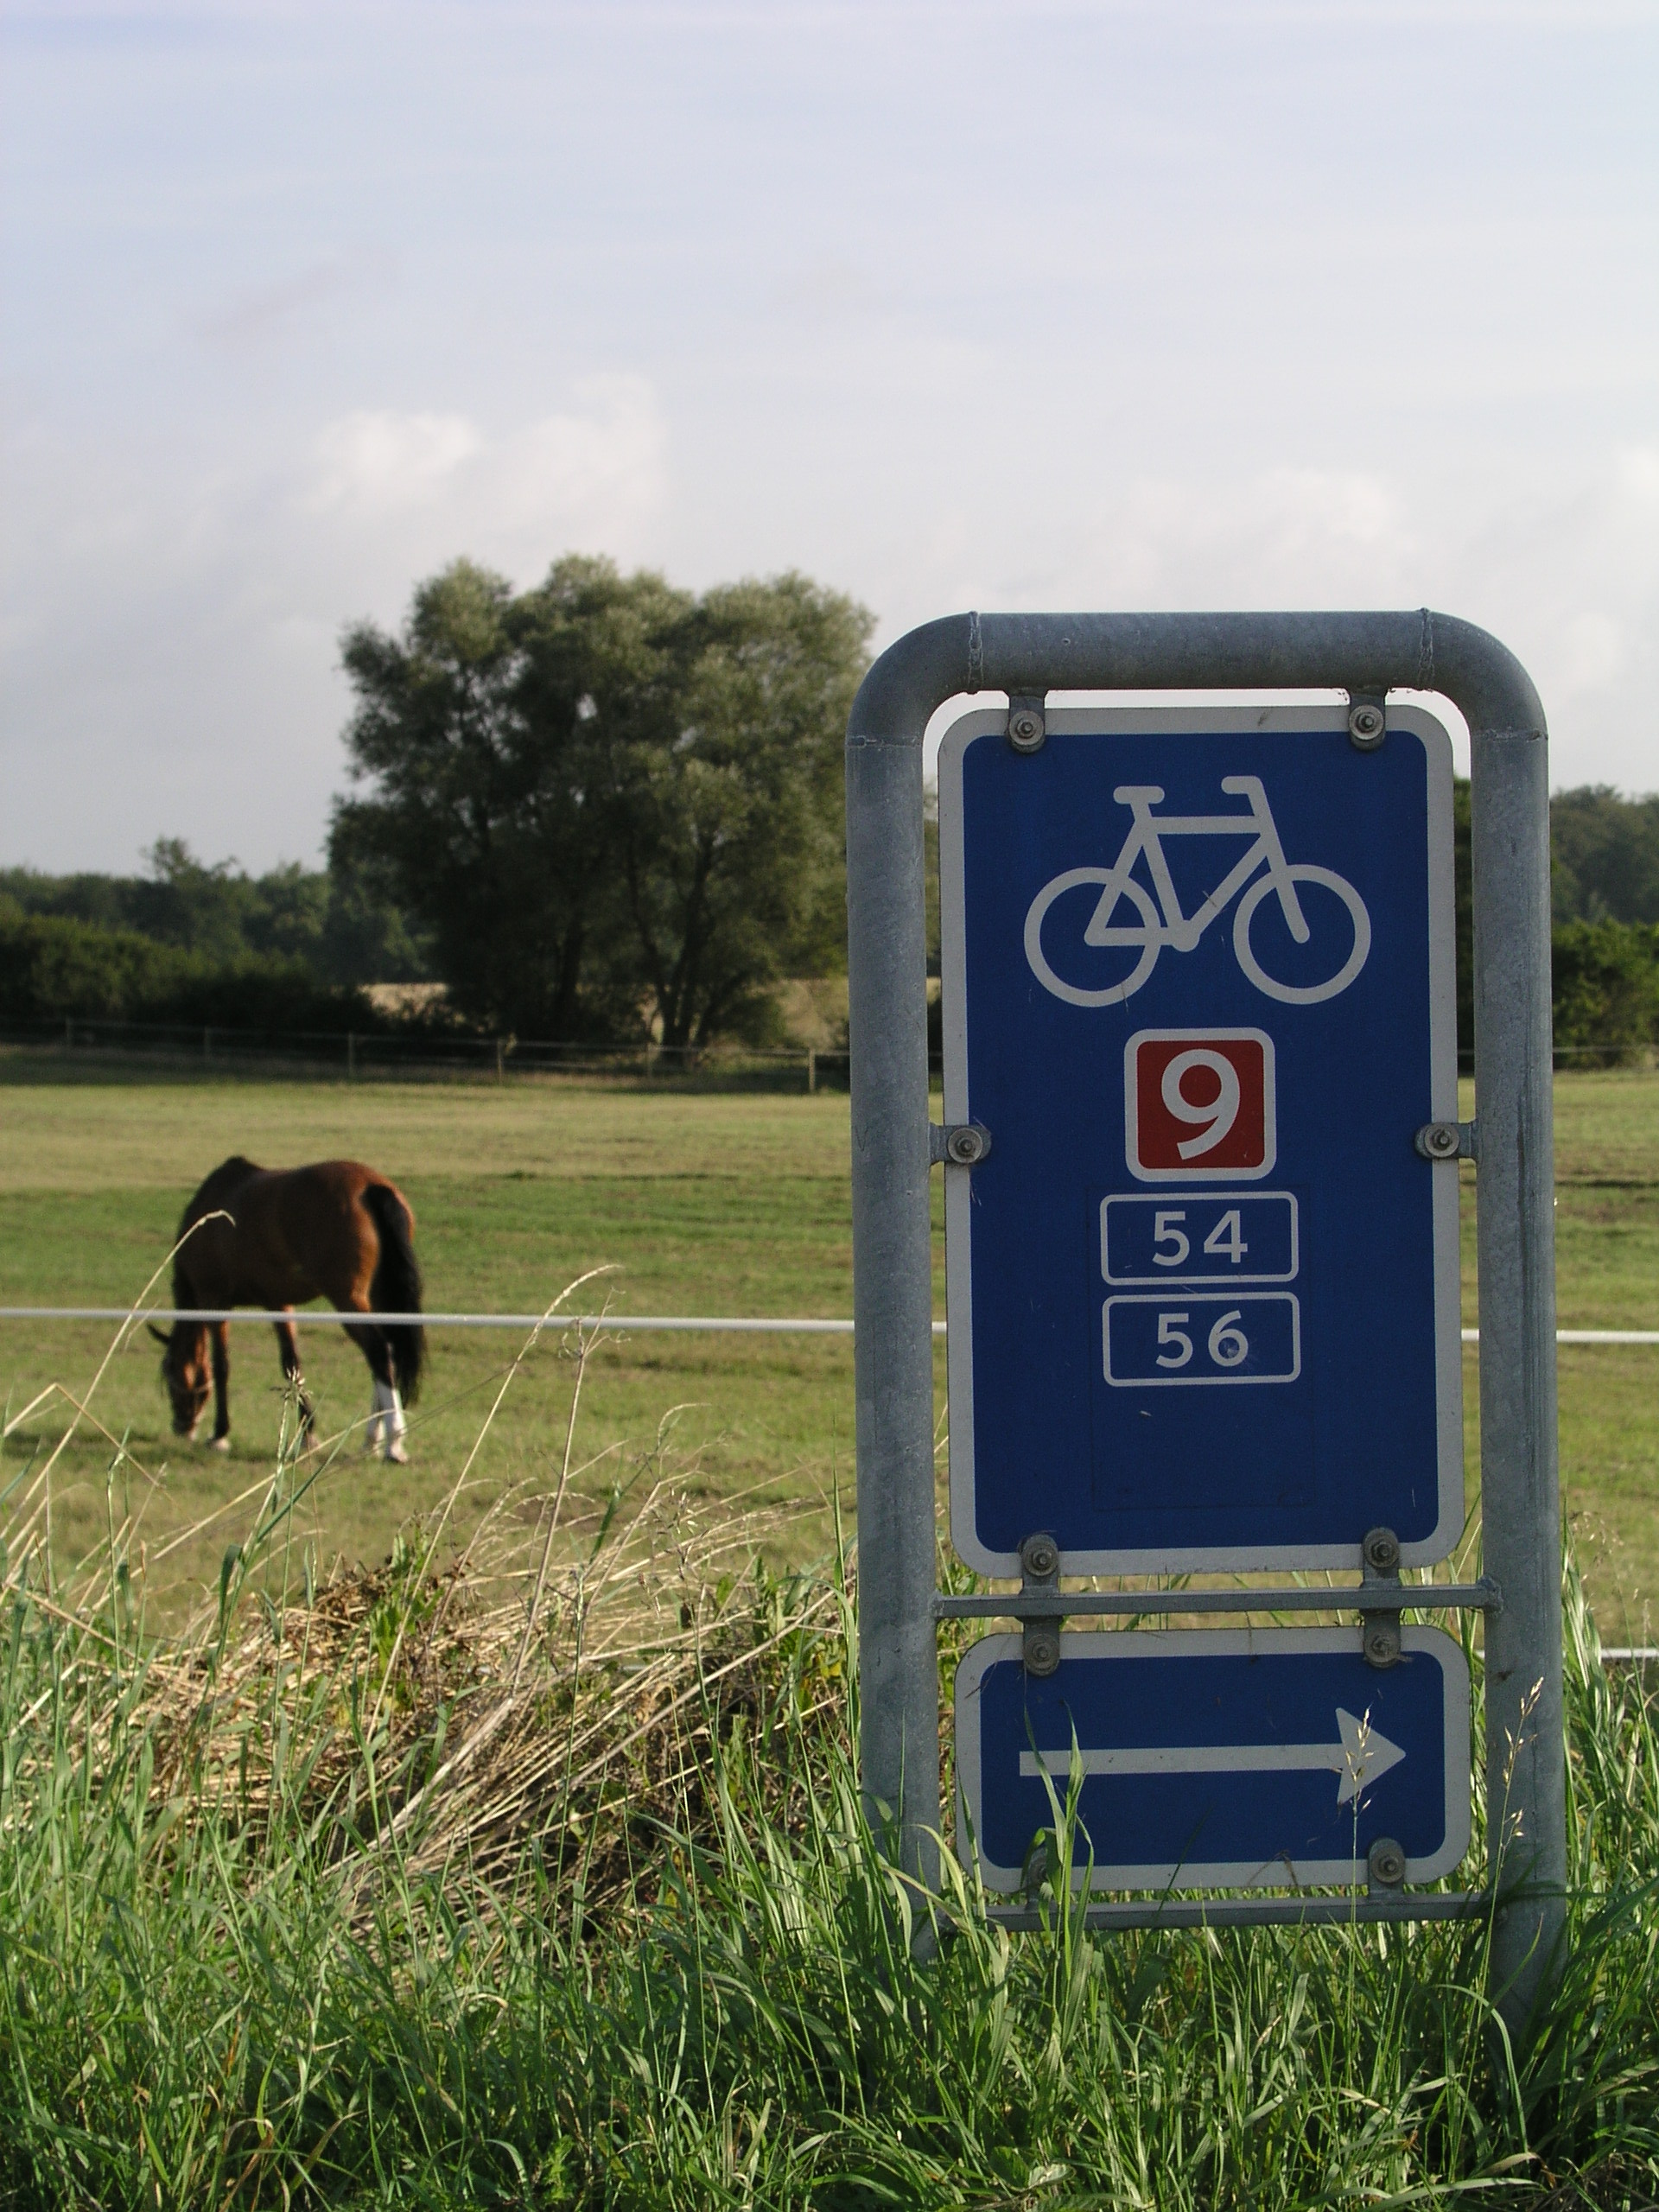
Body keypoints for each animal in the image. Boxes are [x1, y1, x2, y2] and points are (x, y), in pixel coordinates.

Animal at [149, 1167, 424, 1459]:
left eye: (170, 1375)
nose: (181, 1426)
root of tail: (371, 1187)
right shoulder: (279, 1303)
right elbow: (292, 1365)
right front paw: (308, 1433)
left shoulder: (214, 1300)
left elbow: (221, 1366)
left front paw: (220, 1434)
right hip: (378, 1297)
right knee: (389, 1353)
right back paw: (371, 1440)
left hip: (348, 1300)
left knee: (380, 1353)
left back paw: (393, 1442)